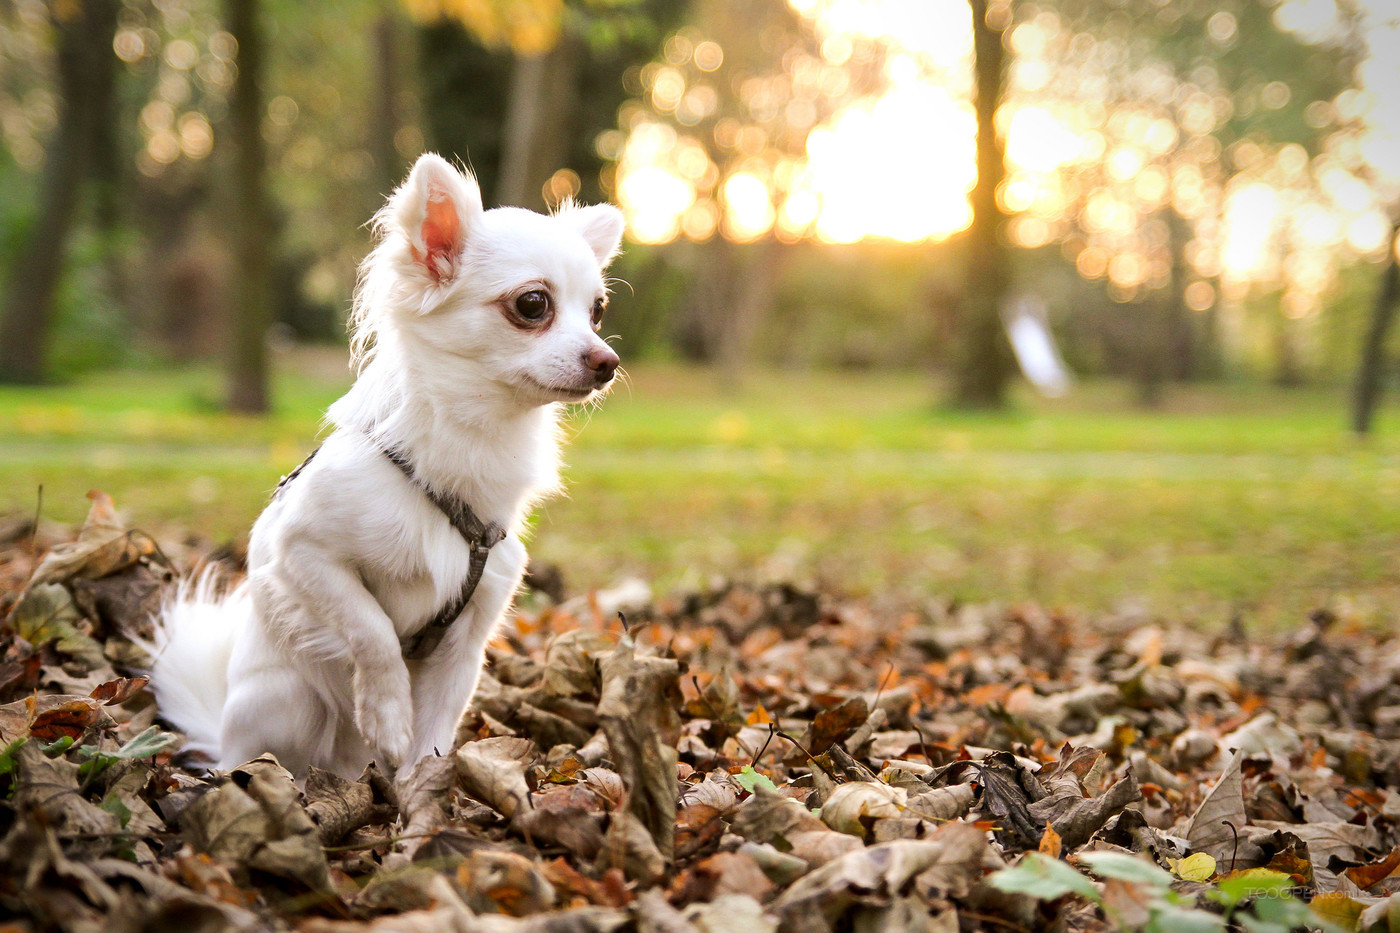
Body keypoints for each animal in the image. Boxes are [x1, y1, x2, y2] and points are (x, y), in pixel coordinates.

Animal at [147, 152, 624, 778]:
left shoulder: (464, 647)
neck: (468, 449)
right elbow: (371, 628)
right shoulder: (303, 553)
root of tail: (222, 738)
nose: (608, 361)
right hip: (287, 701)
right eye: (532, 304)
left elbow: (432, 739)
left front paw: (421, 787)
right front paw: (388, 715)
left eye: (597, 312)